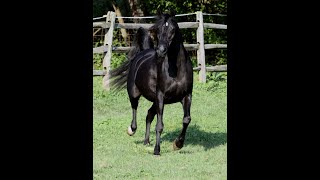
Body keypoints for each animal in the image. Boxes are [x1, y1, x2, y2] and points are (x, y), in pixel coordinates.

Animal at [111, 11, 192, 155]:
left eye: (172, 30)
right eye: (158, 30)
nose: (160, 51)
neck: (176, 71)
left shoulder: (186, 95)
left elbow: (186, 120)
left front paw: (178, 144)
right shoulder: (160, 96)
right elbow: (159, 125)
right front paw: (157, 150)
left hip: (155, 101)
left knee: (149, 115)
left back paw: (146, 141)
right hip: (135, 94)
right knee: (135, 109)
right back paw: (132, 130)